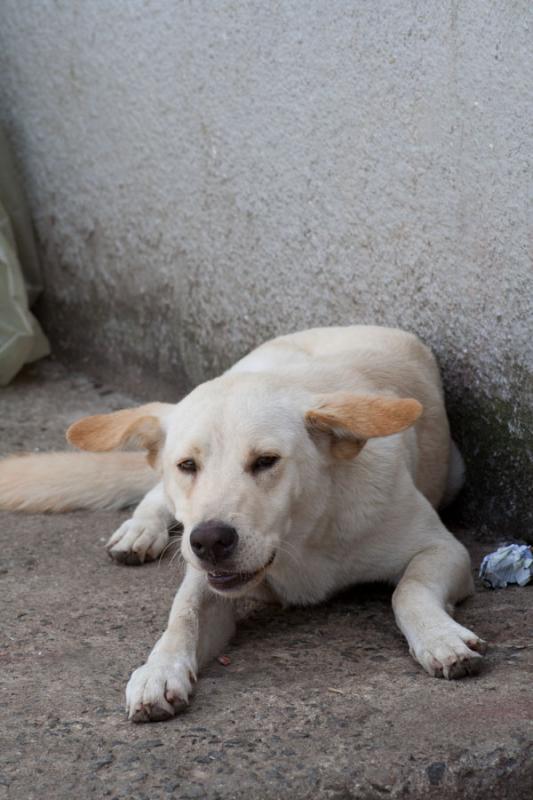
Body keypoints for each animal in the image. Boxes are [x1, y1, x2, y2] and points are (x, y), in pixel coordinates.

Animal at [0, 322, 484, 720]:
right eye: (188, 465)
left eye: (266, 461)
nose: (209, 541)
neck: (303, 537)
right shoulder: (203, 579)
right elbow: (183, 614)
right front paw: (159, 670)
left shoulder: (443, 549)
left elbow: (409, 590)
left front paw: (439, 637)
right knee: (156, 490)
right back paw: (142, 528)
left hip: (457, 473)